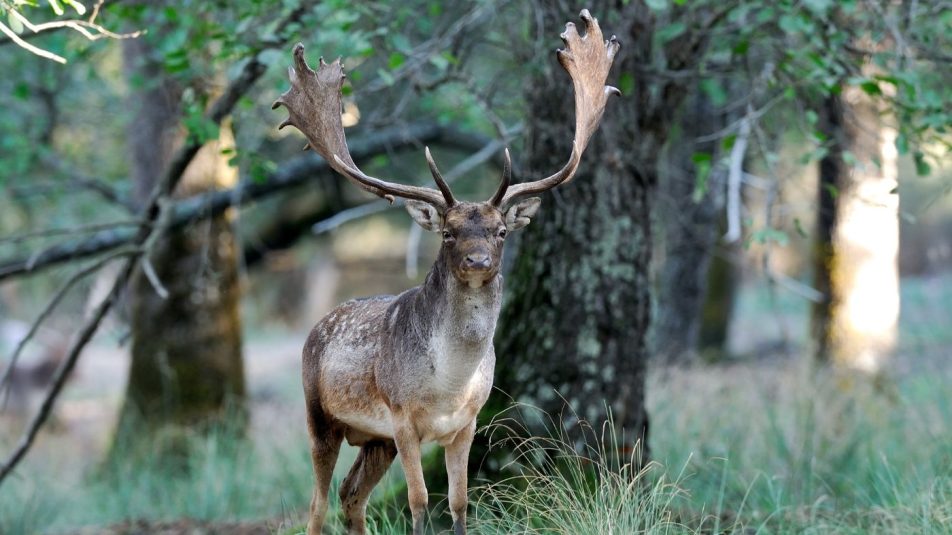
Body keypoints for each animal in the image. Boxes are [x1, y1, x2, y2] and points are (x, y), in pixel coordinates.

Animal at [272, 9, 620, 535]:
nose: (478, 261)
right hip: (321, 415)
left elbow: (458, 502)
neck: (448, 389)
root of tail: (318, 326)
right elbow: (418, 502)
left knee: (352, 495)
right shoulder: (402, 416)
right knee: (317, 504)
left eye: (501, 231)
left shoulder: (466, 423)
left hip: (373, 438)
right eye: (450, 233)